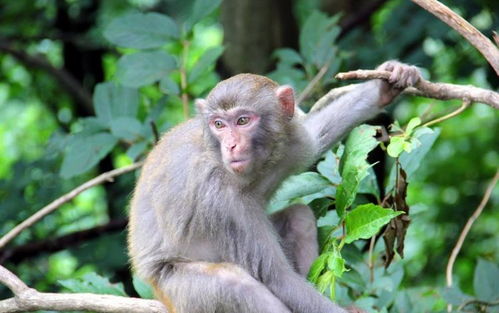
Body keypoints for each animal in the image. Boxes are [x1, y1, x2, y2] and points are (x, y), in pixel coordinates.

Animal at [129, 59, 422, 312]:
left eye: (243, 121)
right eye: (219, 125)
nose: (230, 145)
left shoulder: (291, 141)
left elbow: (318, 135)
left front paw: (386, 86)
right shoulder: (219, 199)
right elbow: (276, 279)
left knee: (299, 217)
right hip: (174, 287)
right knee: (234, 284)